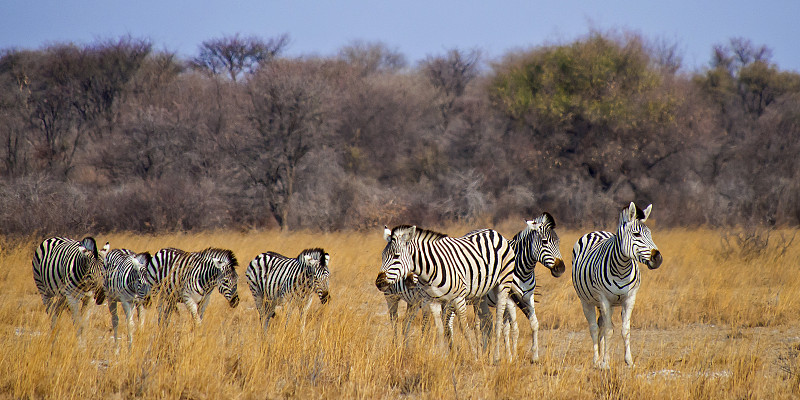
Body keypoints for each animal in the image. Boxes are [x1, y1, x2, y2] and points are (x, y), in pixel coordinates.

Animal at [374, 225, 516, 362]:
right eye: (382, 256)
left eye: (396, 256)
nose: (379, 283)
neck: (430, 270)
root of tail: (493, 232)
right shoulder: (433, 300)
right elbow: (440, 329)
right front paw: (443, 356)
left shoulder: (457, 298)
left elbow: (462, 327)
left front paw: (473, 356)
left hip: (502, 285)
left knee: (498, 320)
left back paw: (496, 357)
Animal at [576, 203, 664, 368]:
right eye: (636, 234)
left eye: (650, 234)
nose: (658, 259)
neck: (621, 269)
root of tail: (596, 231)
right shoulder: (604, 299)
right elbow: (608, 331)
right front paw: (605, 363)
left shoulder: (630, 298)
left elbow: (625, 330)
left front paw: (629, 361)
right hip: (587, 301)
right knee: (594, 328)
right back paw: (596, 360)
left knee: (601, 325)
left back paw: (601, 359)